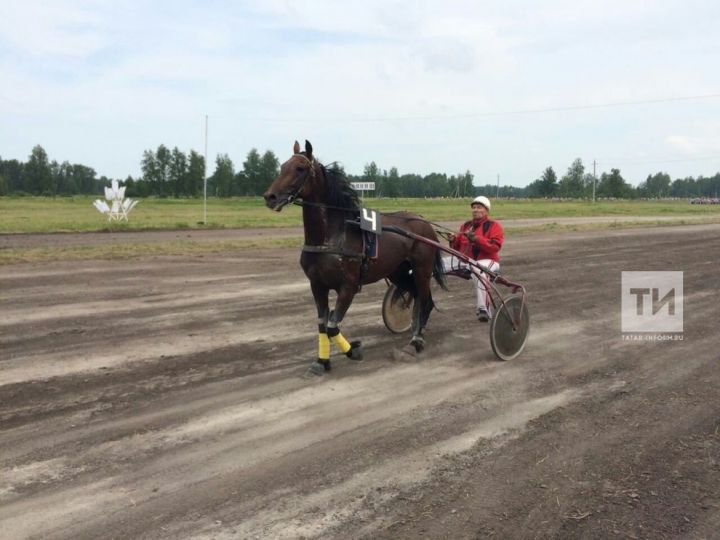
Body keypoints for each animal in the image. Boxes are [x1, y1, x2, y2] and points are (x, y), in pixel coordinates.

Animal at [262, 140, 448, 376]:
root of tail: (423, 221)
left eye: (300, 168)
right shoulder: (317, 285)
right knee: (414, 295)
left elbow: (332, 326)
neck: (331, 236)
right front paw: (322, 361)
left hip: (422, 269)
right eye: (282, 166)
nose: (270, 197)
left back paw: (416, 341)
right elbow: (322, 324)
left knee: (425, 300)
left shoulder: (348, 286)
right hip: (397, 271)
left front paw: (354, 350)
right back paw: (414, 329)